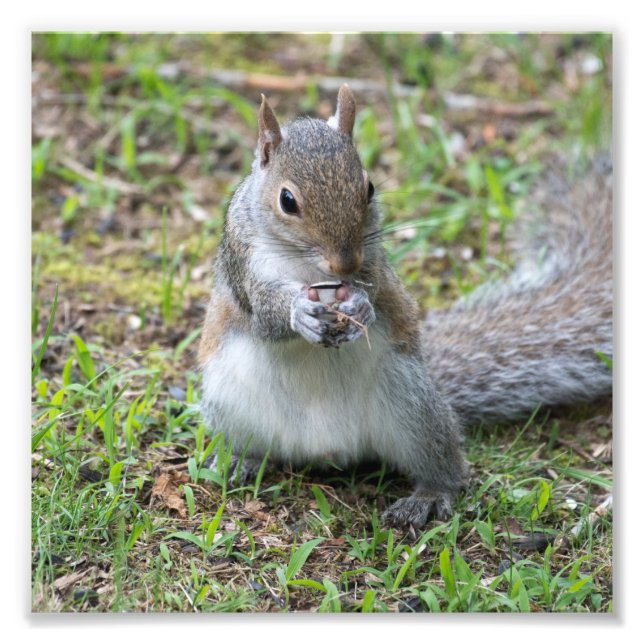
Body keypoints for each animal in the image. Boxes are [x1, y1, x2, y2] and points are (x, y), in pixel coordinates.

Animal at [197, 85, 613, 529]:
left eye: (369, 188)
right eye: (287, 200)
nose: (345, 264)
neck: (308, 268)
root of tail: (327, 451)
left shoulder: (374, 260)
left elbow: (377, 287)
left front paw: (362, 306)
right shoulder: (242, 262)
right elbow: (263, 313)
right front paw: (299, 314)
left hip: (413, 404)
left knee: (444, 466)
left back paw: (429, 495)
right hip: (230, 402)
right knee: (256, 445)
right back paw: (241, 459)